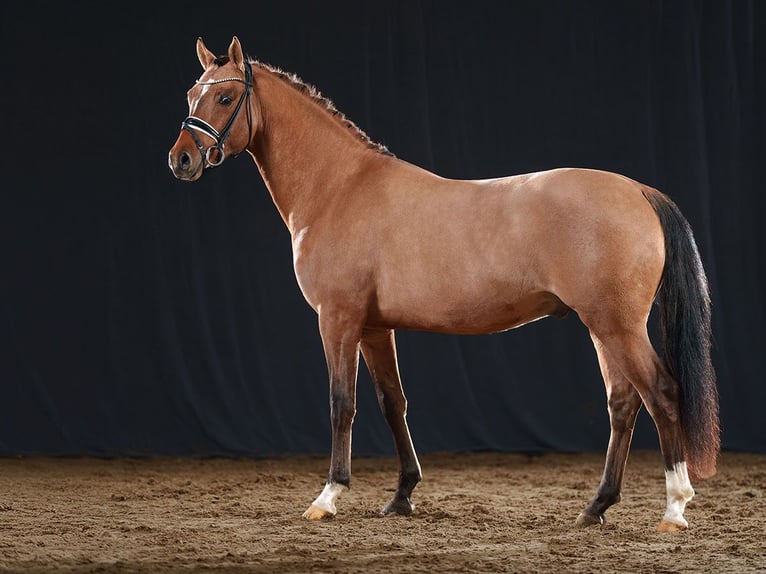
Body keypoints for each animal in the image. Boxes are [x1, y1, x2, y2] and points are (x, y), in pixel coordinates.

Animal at [166, 35, 720, 532]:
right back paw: (596, 507)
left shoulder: (337, 320)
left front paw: (328, 496)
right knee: (623, 404)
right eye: (191, 94)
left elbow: (342, 403)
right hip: (603, 328)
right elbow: (393, 403)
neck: (340, 186)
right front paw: (401, 496)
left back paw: (674, 507)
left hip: (617, 326)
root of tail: (639, 191)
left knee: (661, 394)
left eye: (225, 97)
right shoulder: (375, 328)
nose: (182, 159)